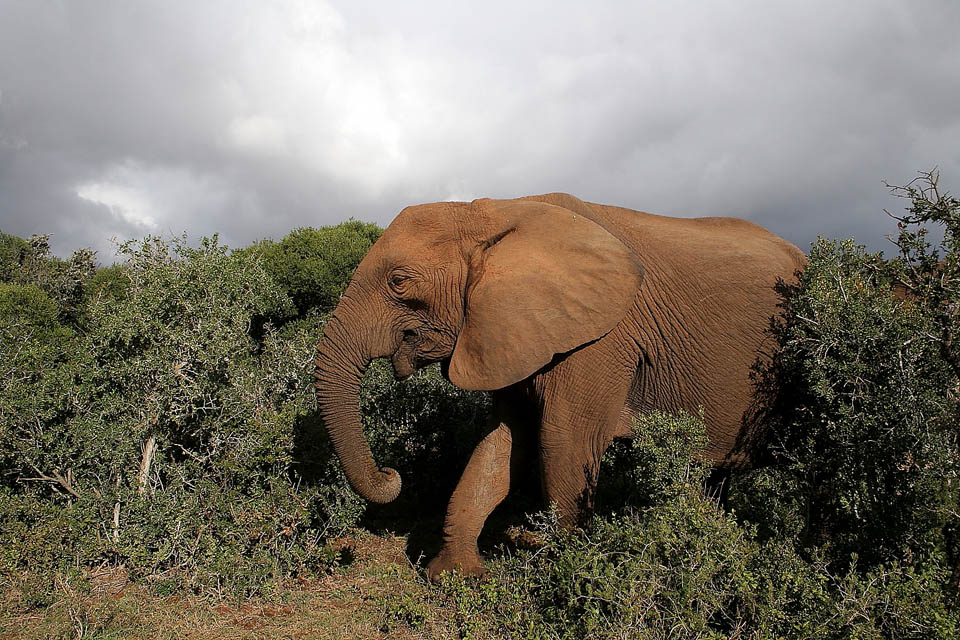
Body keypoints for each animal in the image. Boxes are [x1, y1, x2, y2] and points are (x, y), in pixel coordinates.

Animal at [312, 191, 808, 580]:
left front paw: (566, 573)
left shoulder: (601, 337)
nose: (390, 474)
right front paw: (454, 577)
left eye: (398, 282)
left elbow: (562, 444)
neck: (494, 213)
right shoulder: (511, 328)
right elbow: (502, 444)